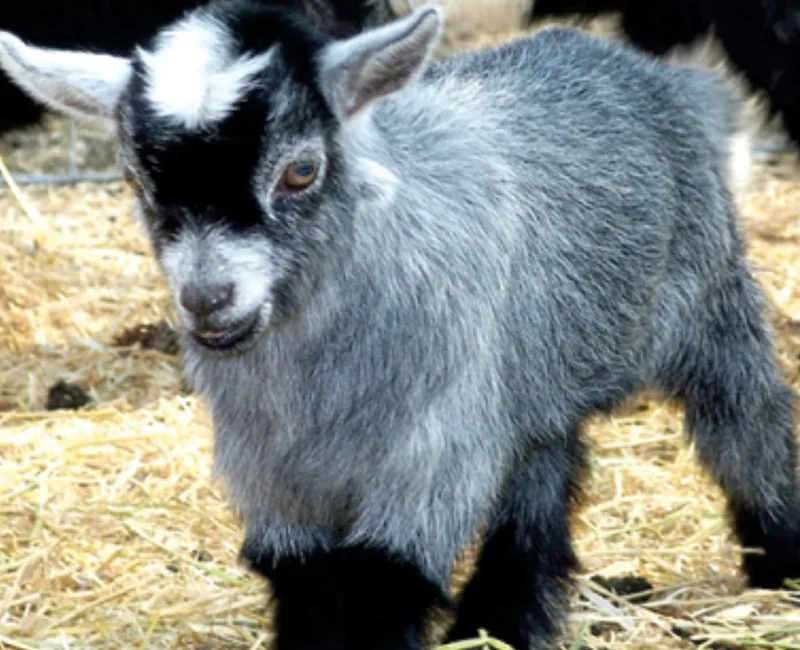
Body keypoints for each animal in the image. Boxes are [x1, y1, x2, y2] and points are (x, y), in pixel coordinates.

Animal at [2, 2, 799, 649]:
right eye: (135, 179)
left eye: (301, 171)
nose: (208, 298)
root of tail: (618, 59)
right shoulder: (268, 473)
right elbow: (306, 587)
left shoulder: (431, 453)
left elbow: (384, 586)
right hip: (532, 378)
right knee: (543, 478)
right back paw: (502, 624)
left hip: (712, 304)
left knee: (748, 429)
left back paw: (781, 560)